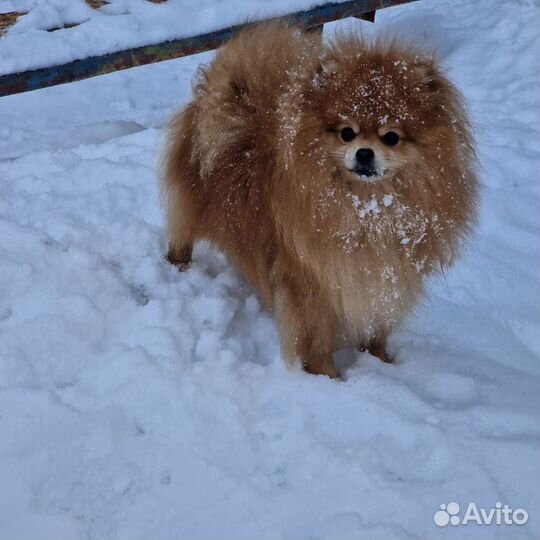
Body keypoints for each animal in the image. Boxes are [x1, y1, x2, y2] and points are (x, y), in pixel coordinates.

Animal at [162, 23, 478, 378]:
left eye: (391, 137)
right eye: (346, 133)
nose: (364, 153)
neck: (368, 211)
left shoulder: (385, 279)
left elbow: (377, 326)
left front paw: (380, 360)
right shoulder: (312, 284)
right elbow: (317, 338)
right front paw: (328, 377)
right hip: (191, 207)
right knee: (181, 235)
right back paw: (179, 266)